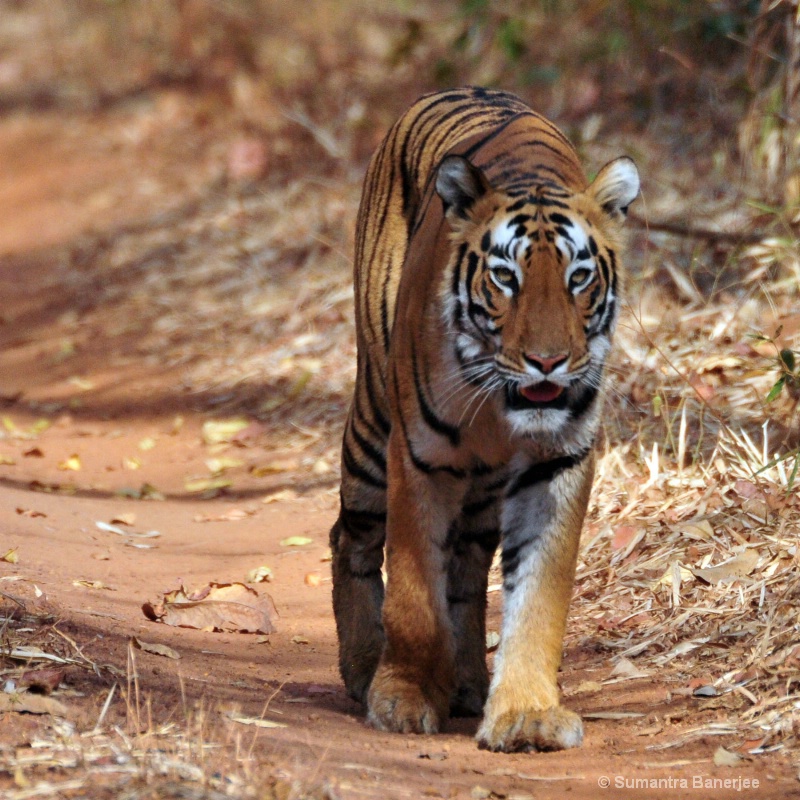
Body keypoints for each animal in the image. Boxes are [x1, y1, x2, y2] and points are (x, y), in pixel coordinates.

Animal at [328, 87, 640, 752]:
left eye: (579, 277)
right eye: (505, 277)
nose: (547, 361)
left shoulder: (557, 463)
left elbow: (538, 598)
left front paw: (526, 713)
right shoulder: (418, 456)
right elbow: (414, 589)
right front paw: (403, 697)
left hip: (484, 488)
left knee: (468, 568)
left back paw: (468, 682)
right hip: (372, 422)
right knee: (352, 536)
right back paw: (364, 669)